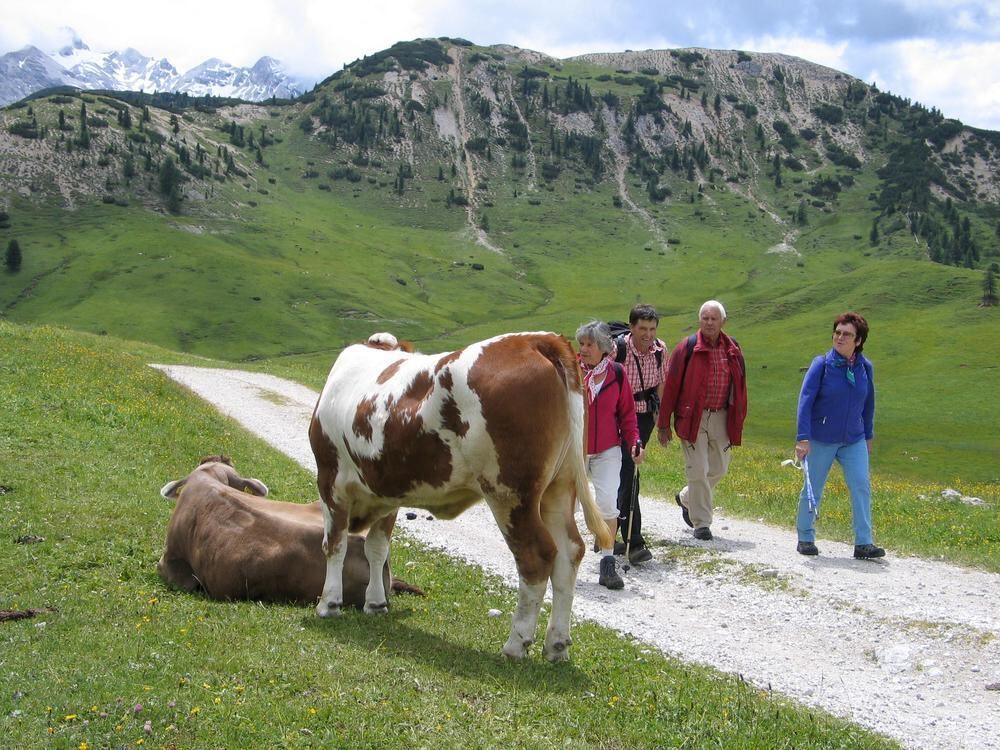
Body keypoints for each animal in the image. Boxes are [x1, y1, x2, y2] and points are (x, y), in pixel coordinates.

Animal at [308, 332, 612, 660]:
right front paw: (375, 603)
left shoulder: (330, 479)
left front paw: (328, 603)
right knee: (570, 552)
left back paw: (516, 643)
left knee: (536, 556)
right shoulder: (387, 494)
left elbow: (334, 544)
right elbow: (376, 548)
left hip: (510, 494)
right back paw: (556, 643)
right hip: (559, 487)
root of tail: (534, 339)